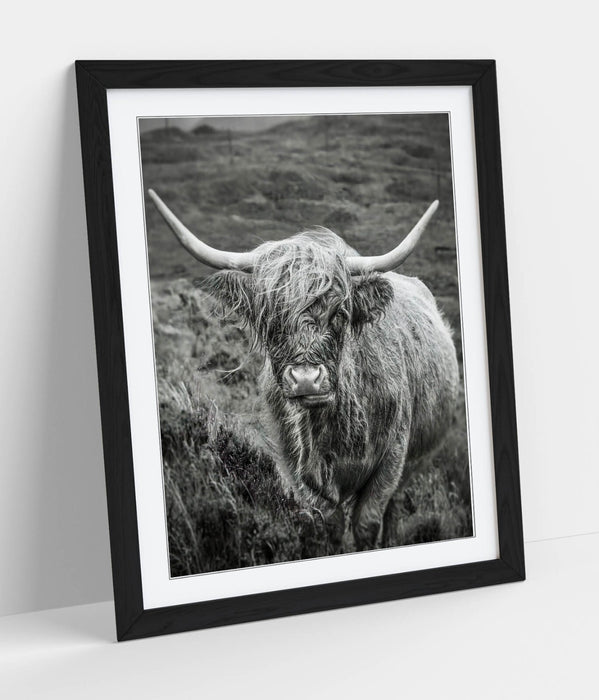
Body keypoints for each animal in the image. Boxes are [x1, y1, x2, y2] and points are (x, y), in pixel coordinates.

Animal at [148, 189, 459, 551]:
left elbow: (368, 521)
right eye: (269, 318)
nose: (306, 379)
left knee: (395, 508)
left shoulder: (393, 457)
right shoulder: (295, 467)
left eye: (340, 313)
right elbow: (330, 524)